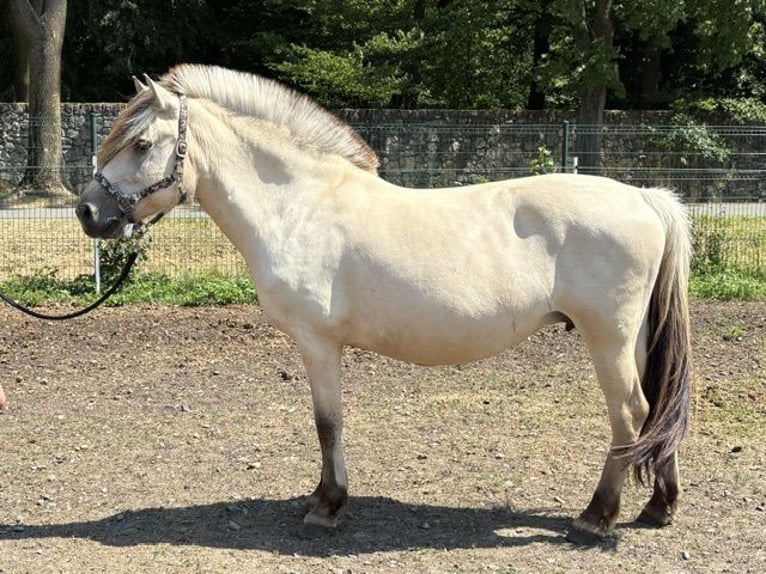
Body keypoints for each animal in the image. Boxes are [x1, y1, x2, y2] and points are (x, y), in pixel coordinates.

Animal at [75, 64, 693, 543]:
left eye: (141, 144)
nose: (86, 212)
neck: (297, 205)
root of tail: (644, 197)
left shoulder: (317, 342)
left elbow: (327, 423)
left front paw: (327, 506)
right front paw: (322, 498)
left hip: (607, 338)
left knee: (629, 414)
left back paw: (597, 517)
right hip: (634, 339)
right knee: (654, 409)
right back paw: (657, 507)